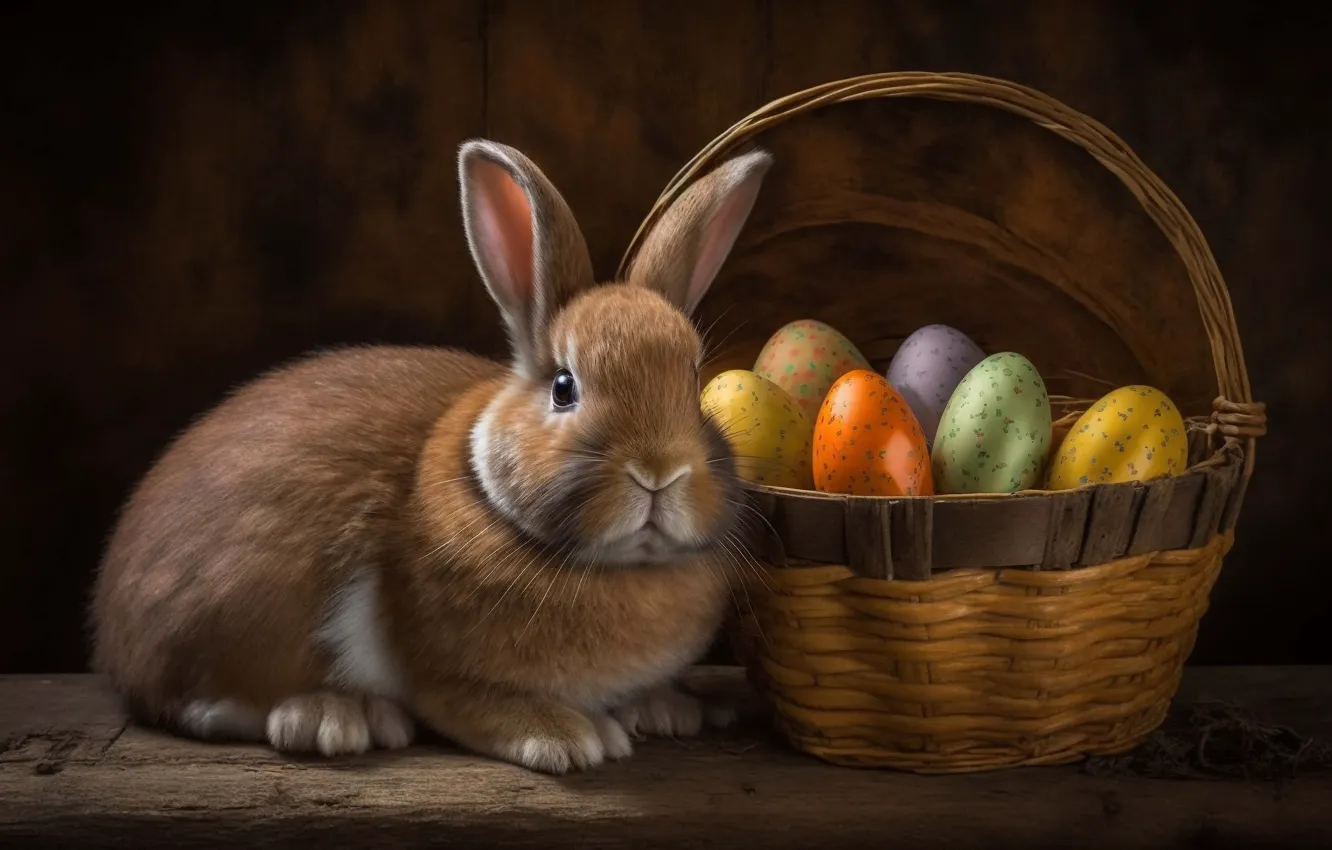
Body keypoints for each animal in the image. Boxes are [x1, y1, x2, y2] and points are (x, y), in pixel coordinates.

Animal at [88, 138, 774, 774]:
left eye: (693, 381)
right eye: (563, 386)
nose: (659, 472)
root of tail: (111, 633)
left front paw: (671, 709)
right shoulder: (441, 676)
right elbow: (474, 704)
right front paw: (567, 738)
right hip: (254, 603)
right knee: (204, 705)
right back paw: (335, 716)